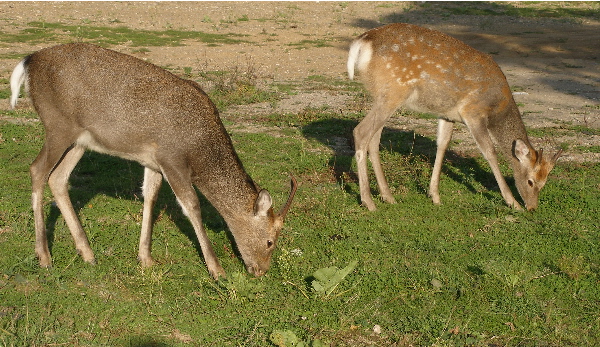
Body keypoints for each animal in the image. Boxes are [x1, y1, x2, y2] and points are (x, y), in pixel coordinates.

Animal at [10, 42, 296, 280]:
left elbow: (150, 196)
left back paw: (87, 253)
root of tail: (27, 62)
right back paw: (44, 256)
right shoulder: (172, 159)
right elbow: (192, 206)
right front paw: (217, 270)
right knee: (37, 170)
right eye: (270, 241)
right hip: (58, 126)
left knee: (58, 178)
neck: (199, 149)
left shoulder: (153, 160)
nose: (261, 271)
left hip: (79, 140)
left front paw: (145, 258)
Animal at [346, 23, 564, 212]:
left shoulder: (447, 115)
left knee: (374, 139)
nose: (532, 207)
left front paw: (434, 195)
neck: (497, 108)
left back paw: (388, 196)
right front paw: (512, 202)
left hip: (383, 96)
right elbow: (490, 152)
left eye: (545, 182)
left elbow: (442, 145)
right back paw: (368, 201)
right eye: (531, 181)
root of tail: (362, 42)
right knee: (361, 132)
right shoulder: (473, 112)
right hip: (393, 91)